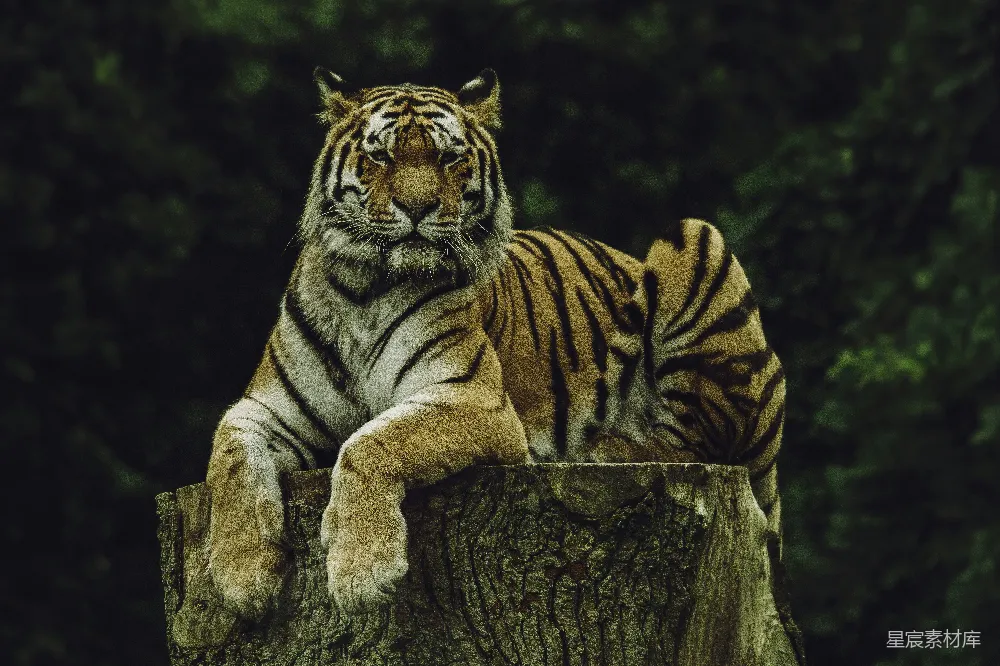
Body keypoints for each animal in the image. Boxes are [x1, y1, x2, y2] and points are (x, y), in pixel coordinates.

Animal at [205, 68, 786, 618]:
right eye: (381, 155)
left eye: (449, 157)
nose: (417, 207)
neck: (364, 290)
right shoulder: (266, 408)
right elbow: (228, 459)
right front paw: (240, 577)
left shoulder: (473, 399)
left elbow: (370, 443)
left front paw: (362, 574)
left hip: (694, 237)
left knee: (698, 439)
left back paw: (605, 448)